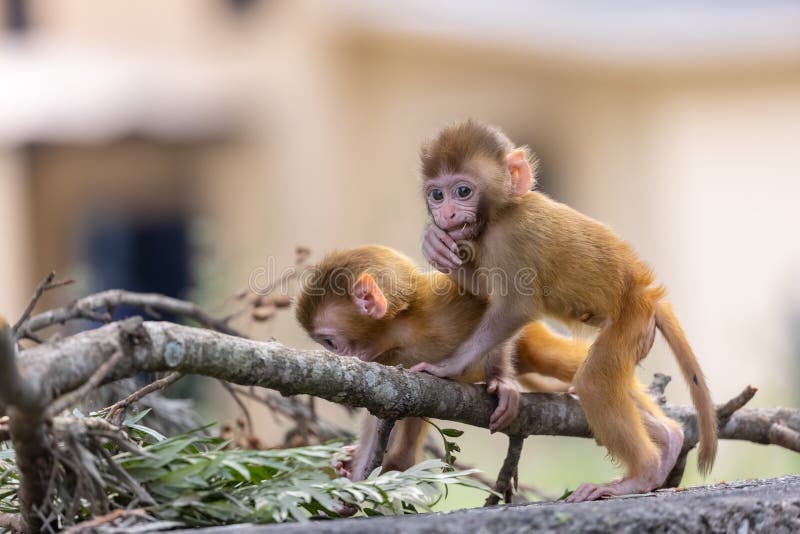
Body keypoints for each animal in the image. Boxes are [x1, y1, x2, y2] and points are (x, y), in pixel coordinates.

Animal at [295, 245, 589, 482]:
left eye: (329, 342)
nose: (339, 357)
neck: (401, 330)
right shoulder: (385, 359)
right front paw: (356, 481)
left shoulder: (446, 300)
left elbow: (507, 308)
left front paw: (501, 379)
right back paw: (400, 462)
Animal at [414, 119, 717, 502]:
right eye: (437, 195)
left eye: (463, 191)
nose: (446, 213)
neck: (503, 211)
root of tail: (649, 291)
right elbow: (488, 293)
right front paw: (433, 243)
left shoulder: (512, 238)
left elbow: (515, 308)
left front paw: (448, 367)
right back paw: (669, 439)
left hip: (630, 319)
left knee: (594, 381)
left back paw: (643, 474)